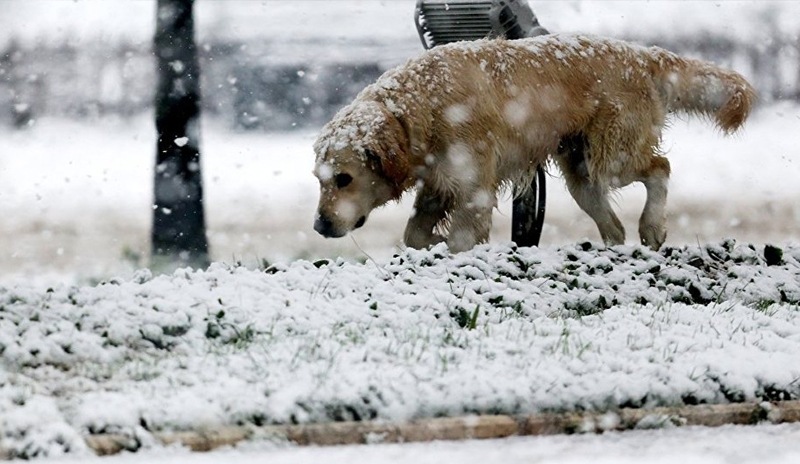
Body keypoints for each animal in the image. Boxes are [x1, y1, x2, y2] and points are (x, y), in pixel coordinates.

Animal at [310, 34, 752, 252]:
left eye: (344, 179)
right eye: (320, 180)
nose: (319, 225)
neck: (420, 106)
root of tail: (642, 54)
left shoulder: (473, 190)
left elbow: (459, 240)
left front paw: (450, 249)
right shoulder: (439, 185)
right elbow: (414, 234)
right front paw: (432, 243)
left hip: (612, 158)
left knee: (660, 167)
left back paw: (653, 227)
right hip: (582, 173)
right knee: (613, 226)